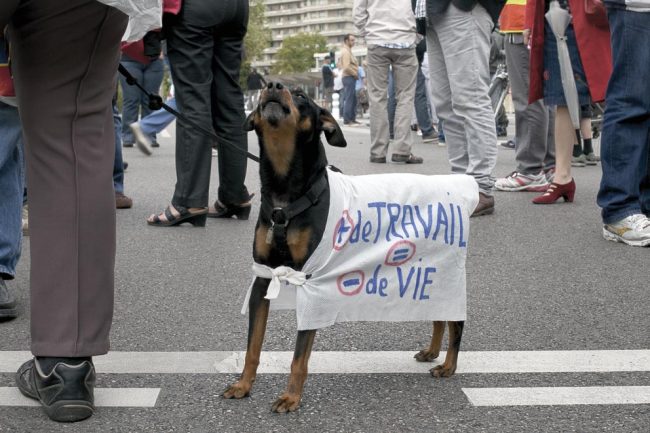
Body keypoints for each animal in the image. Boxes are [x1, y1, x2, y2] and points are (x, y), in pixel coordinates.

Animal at [221, 82, 460, 412]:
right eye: (267, 86)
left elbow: (299, 357)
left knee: (456, 323)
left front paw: (291, 397)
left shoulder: (311, 282)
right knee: (439, 313)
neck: (285, 192)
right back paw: (432, 352)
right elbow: (252, 346)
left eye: (301, 96)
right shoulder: (263, 277)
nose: (272, 86)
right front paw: (244, 385)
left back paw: (449, 364)